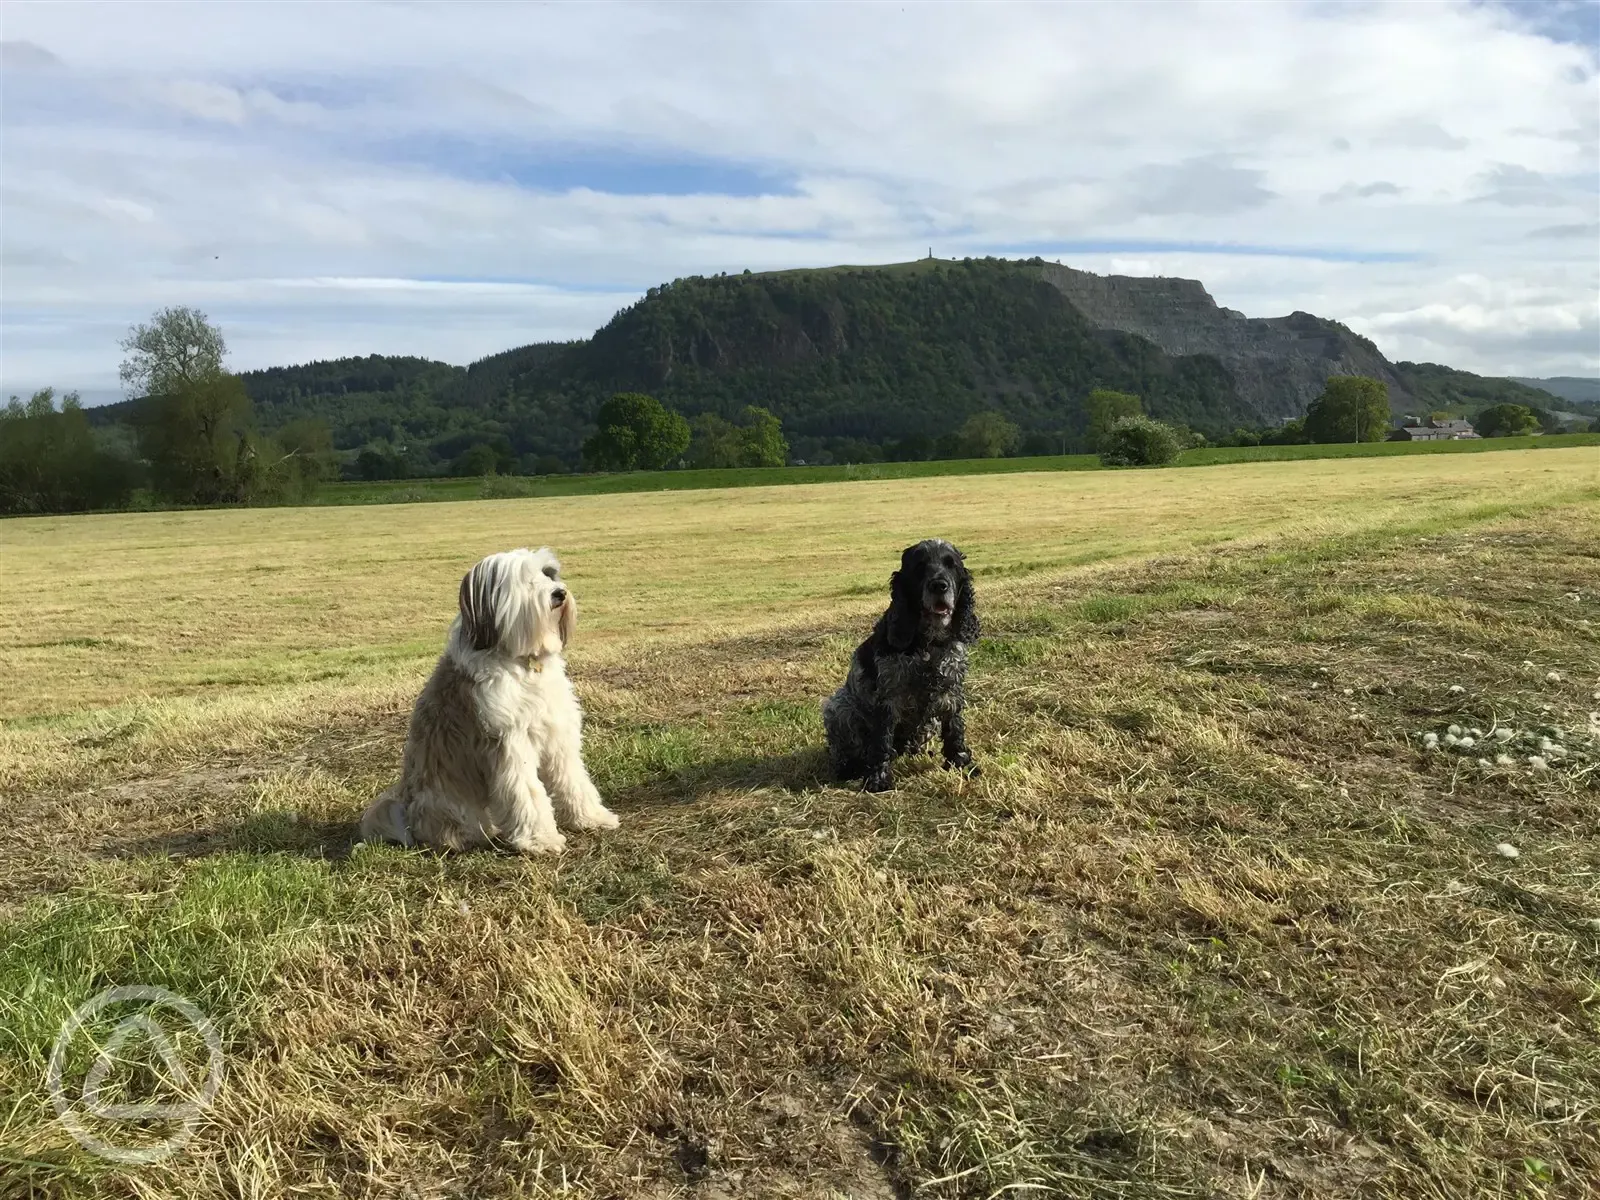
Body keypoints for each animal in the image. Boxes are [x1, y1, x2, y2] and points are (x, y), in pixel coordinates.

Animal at [363, 544, 617, 857]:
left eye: (547, 573)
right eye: (525, 580)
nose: (559, 593)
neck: (524, 663)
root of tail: (406, 811)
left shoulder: (557, 731)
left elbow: (573, 778)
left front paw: (591, 817)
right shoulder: (511, 741)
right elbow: (528, 792)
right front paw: (541, 839)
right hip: (449, 802)